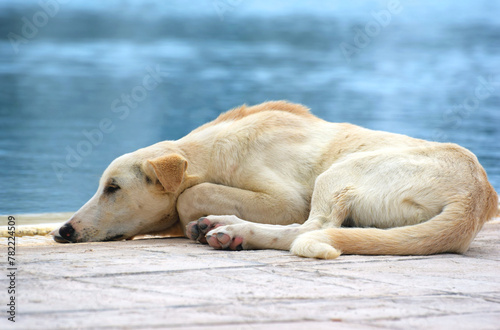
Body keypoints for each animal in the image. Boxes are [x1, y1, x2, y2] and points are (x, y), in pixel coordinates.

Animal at [50, 102, 496, 260]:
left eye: (113, 188)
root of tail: (473, 200)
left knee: (307, 230)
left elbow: (190, 195)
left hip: (339, 173)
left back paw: (231, 230)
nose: (63, 230)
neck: (213, 152)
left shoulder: (286, 199)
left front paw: (199, 217)